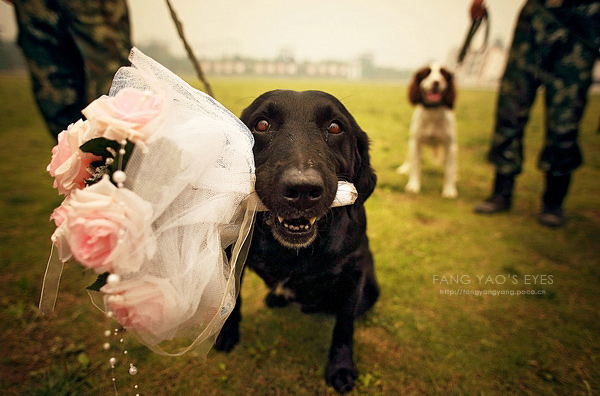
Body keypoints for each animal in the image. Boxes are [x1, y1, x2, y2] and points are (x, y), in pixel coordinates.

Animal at [213, 89, 378, 392]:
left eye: (335, 127)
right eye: (262, 124)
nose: (302, 189)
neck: (292, 253)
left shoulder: (354, 271)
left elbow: (344, 326)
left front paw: (341, 367)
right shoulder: (233, 254)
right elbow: (233, 299)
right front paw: (228, 332)